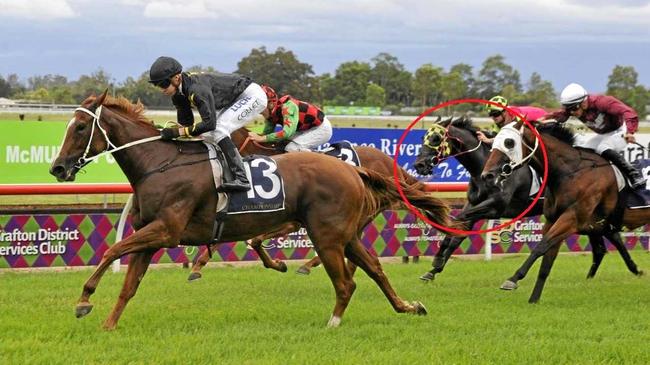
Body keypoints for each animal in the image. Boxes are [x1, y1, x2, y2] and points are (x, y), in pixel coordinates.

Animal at [185, 126, 422, 278]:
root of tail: (391, 163)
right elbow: (230, 237)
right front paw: (197, 267)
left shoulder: (287, 221)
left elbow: (254, 240)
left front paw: (278, 264)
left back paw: (309, 266)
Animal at [412, 117, 640, 282]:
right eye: (423, 138)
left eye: (435, 139)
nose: (419, 165)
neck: (483, 168)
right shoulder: (476, 204)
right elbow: (458, 233)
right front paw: (434, 268)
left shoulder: (496, 207)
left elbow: (458, 221)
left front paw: (437, 258)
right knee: (606, 238)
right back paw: (622, 271)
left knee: (611, 236)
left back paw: (632, 270)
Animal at [478, 121, 644, 302]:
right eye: (493, 143)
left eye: (509, 143)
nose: (487, 175)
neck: (571, 173)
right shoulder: (553, 220)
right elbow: (546, 261)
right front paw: (534, 299)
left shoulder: (571, 219)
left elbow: (541, 246)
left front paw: (513, 279)